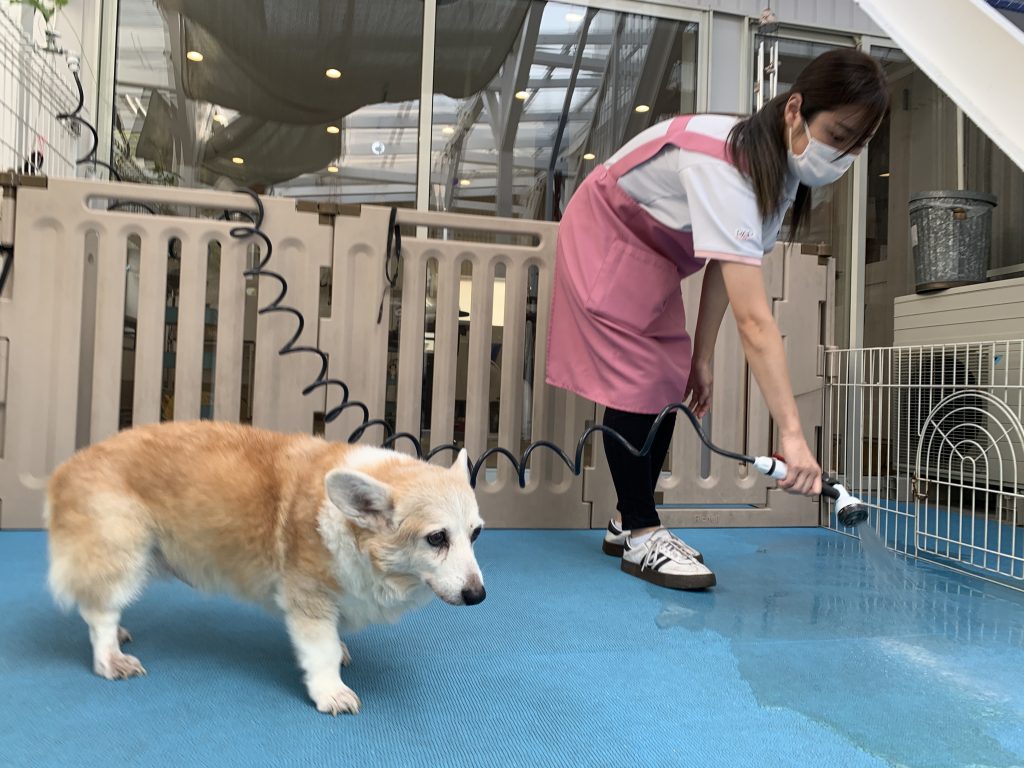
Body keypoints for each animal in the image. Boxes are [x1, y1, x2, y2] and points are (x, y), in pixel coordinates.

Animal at [44, 421, 483, 716]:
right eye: (436, 538)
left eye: (476, 533)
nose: (478, 595)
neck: (349, 527)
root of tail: (64, 469)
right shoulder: (308, 597)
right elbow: (321, 650)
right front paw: (331, 692)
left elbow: (335, 635)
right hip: (123, 553)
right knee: (100, 612)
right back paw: (111, 657)